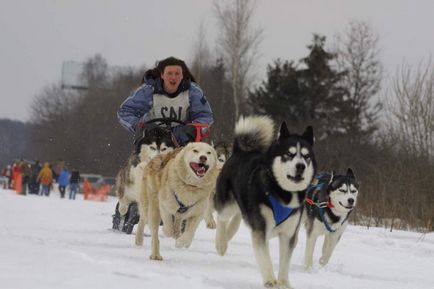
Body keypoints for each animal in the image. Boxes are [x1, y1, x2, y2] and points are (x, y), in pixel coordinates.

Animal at [215, 115, 318, 288]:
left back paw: (229, 233)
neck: (283, 193)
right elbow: (265, 257)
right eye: (289, 154)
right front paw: (270, 280)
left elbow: (285, 262)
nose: (300, 166)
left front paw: (284, 283)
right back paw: (221, 242)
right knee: (221, 218)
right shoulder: (260, 229)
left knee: (238, 217)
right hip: (227, 205)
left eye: (306, 156)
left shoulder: (289, 233)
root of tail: (239, 152)